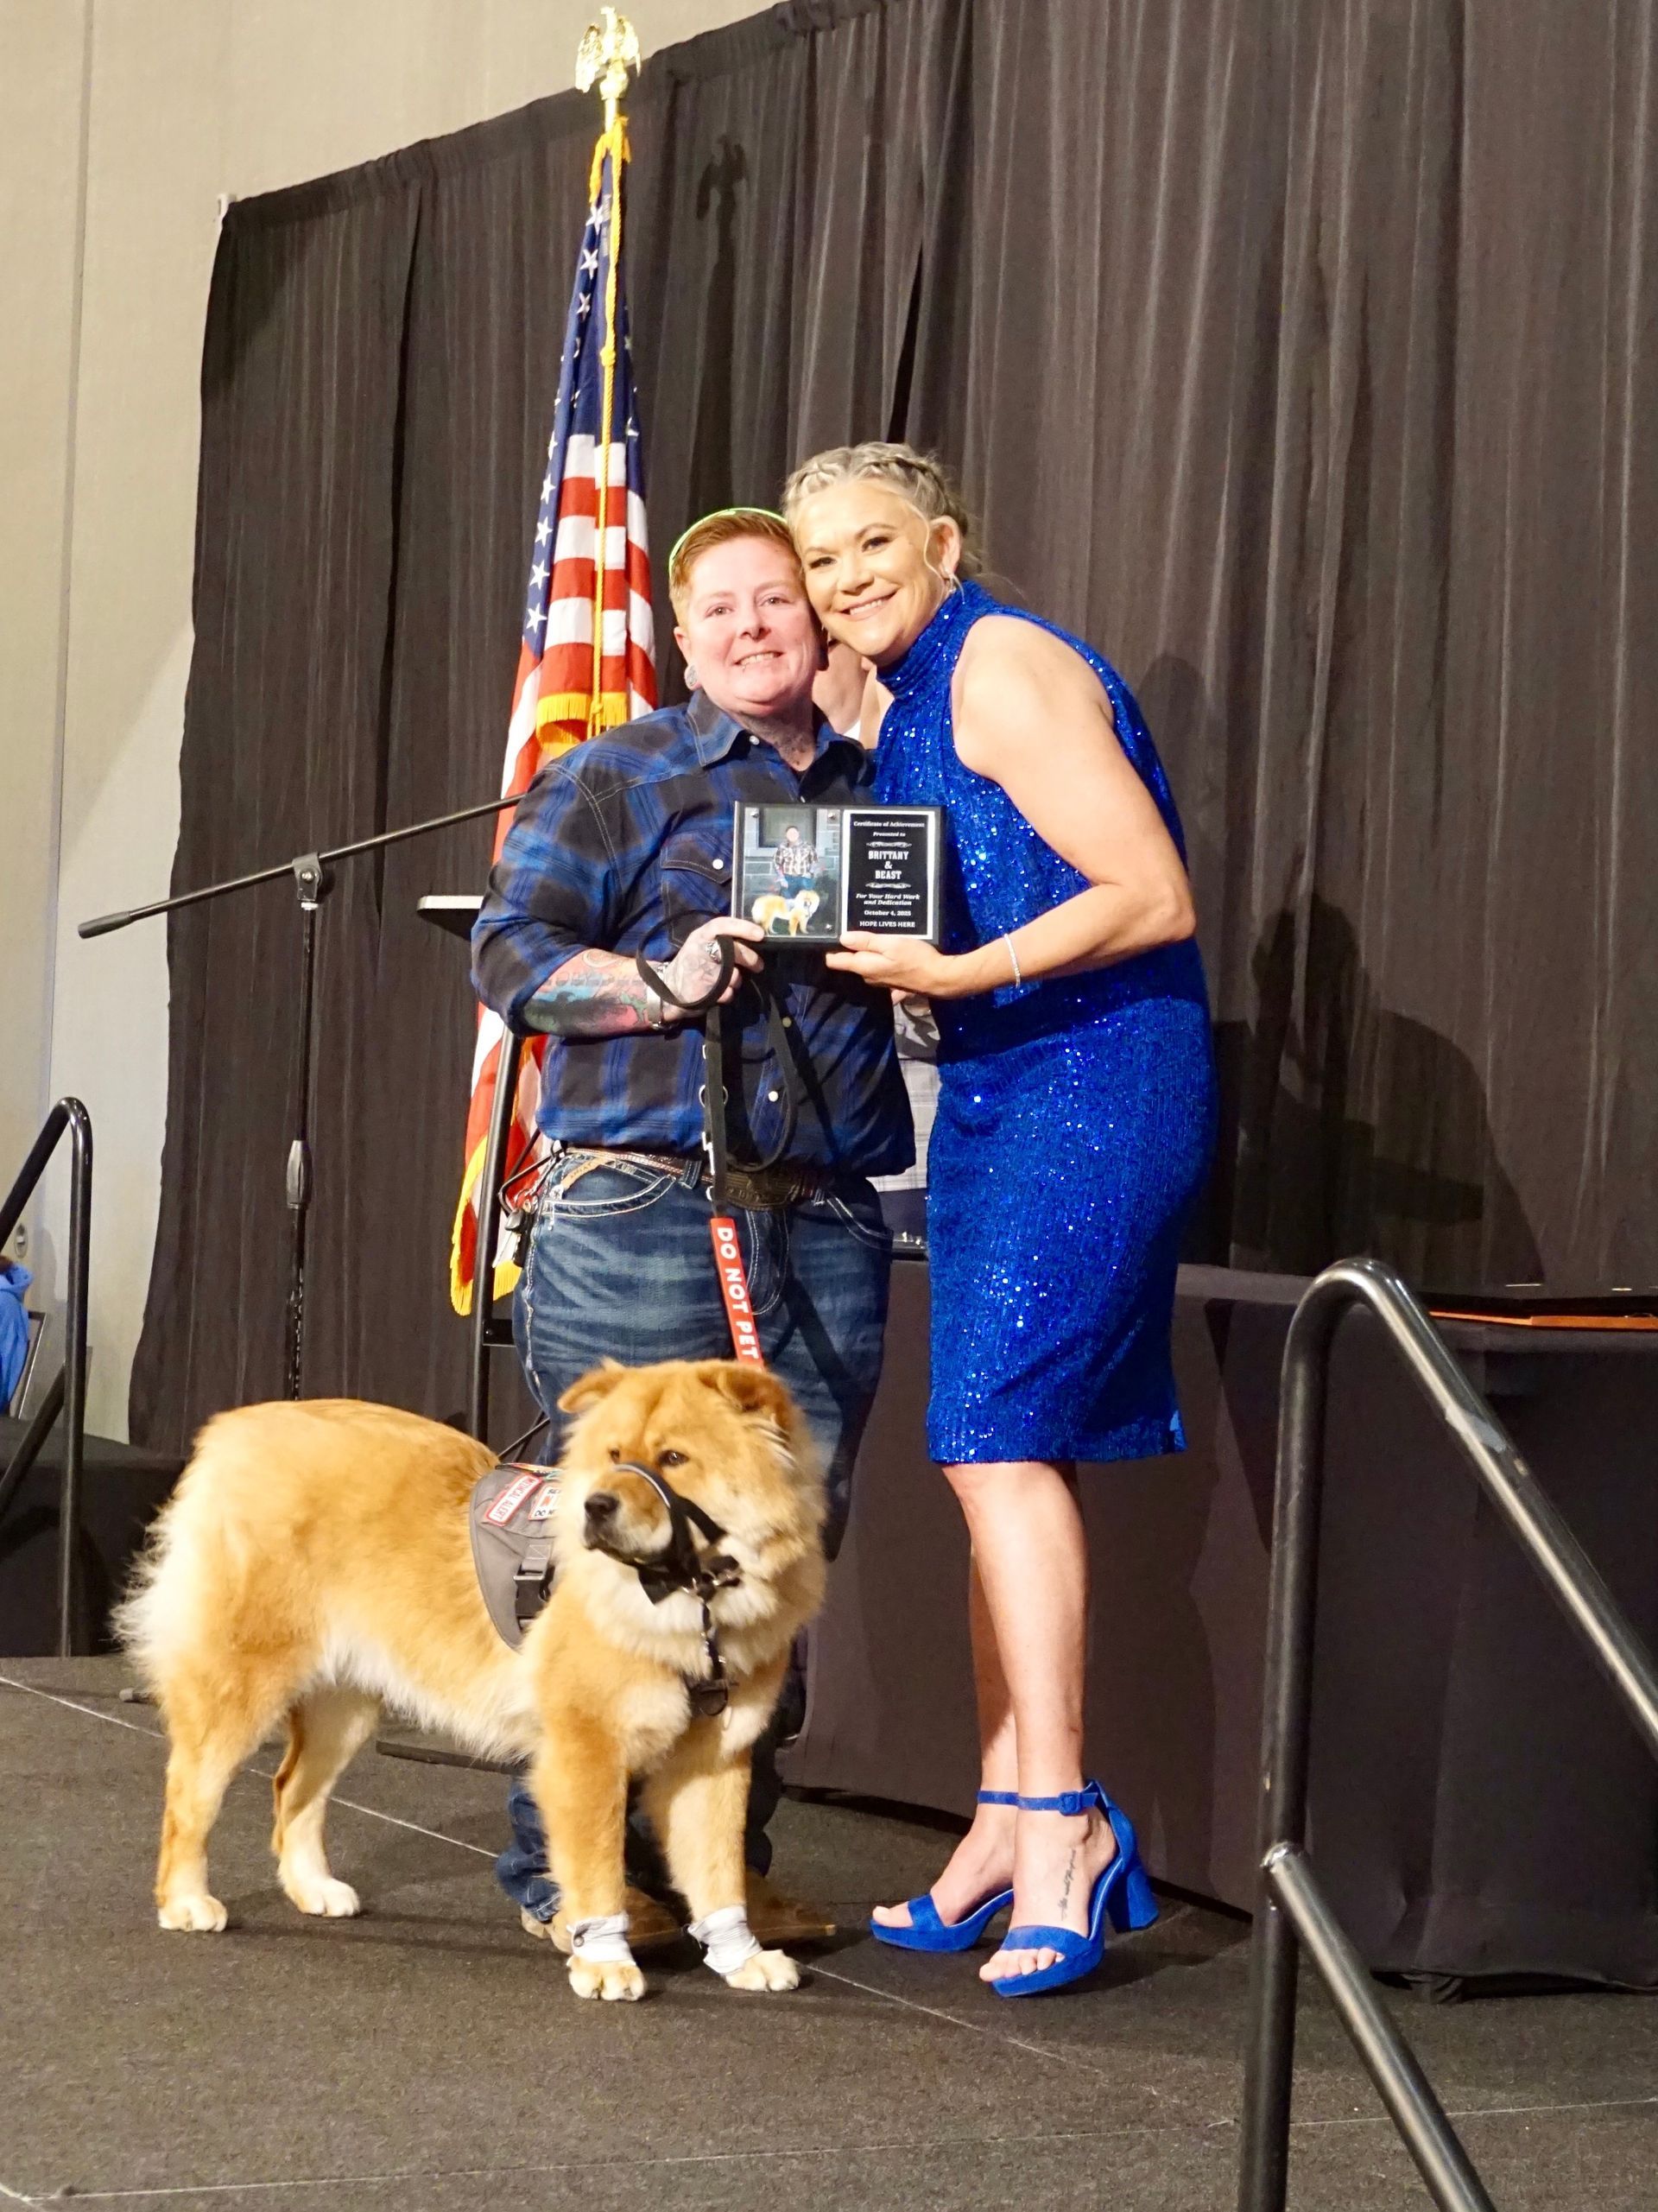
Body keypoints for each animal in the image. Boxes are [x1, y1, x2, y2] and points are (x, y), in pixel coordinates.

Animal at [117, 1358, 827, 2002]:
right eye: (614, 1454)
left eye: (675, 1458)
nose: (596, 1505)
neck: (691, 1603)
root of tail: (234, 1428)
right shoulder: (587, 1754)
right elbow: (597, 1868)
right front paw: (604, 1962)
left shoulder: (713, 1759)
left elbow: (718, 1871)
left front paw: (741, 1956)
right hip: (242, 1684)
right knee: (190, 1789)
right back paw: (185, 1899)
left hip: (345, 1708)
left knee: (294, 1790)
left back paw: (313, 1887)